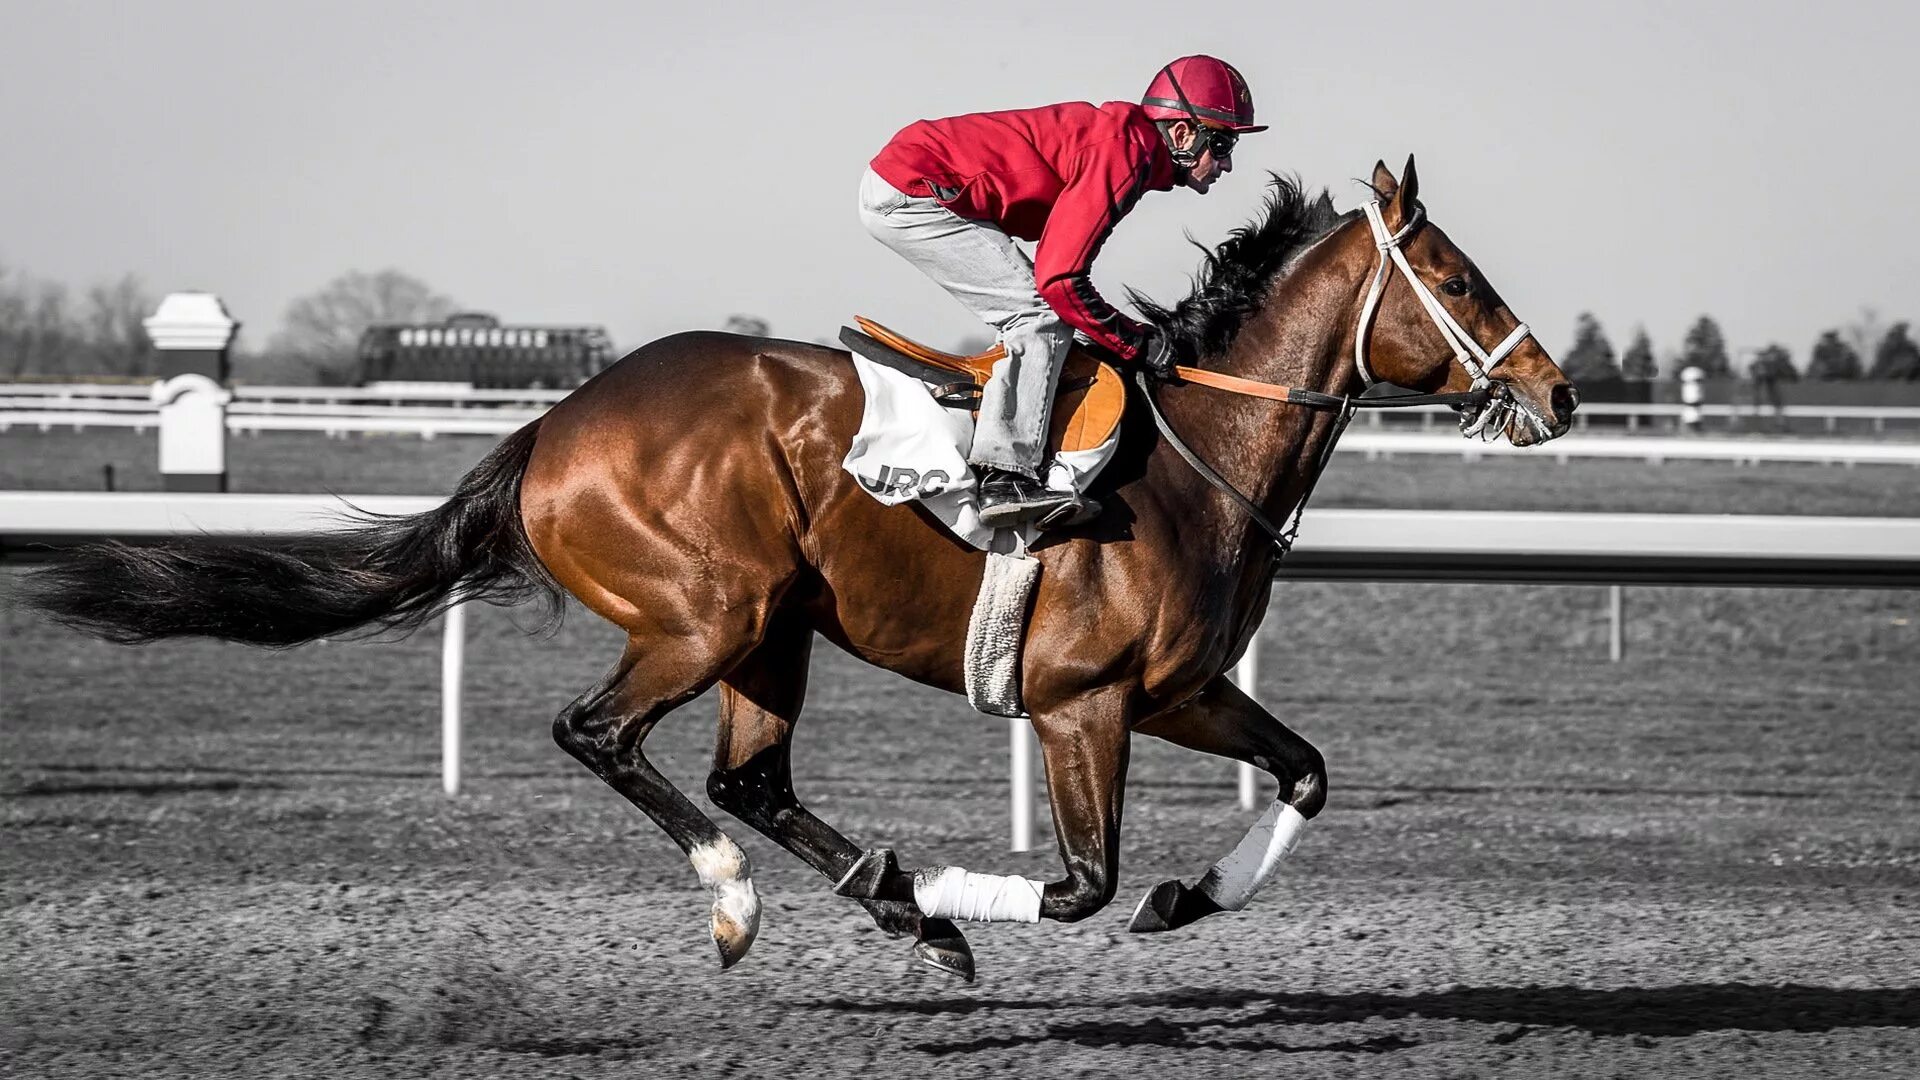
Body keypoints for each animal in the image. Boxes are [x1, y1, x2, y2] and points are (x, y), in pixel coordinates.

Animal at [26, 157, 1574, 976]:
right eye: (1463, 279)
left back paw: (885, 901)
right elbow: (1080, 880)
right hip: (708, 613)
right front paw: (976, 894)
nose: (1553, 392)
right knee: (601, 737)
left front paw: (1190, 894)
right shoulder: (1082, 705)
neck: (1194, 459)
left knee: (748, 779)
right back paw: (762, 900)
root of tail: (550, 426)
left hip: (773, 631)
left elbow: (1303, 772)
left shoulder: (1181, 688)